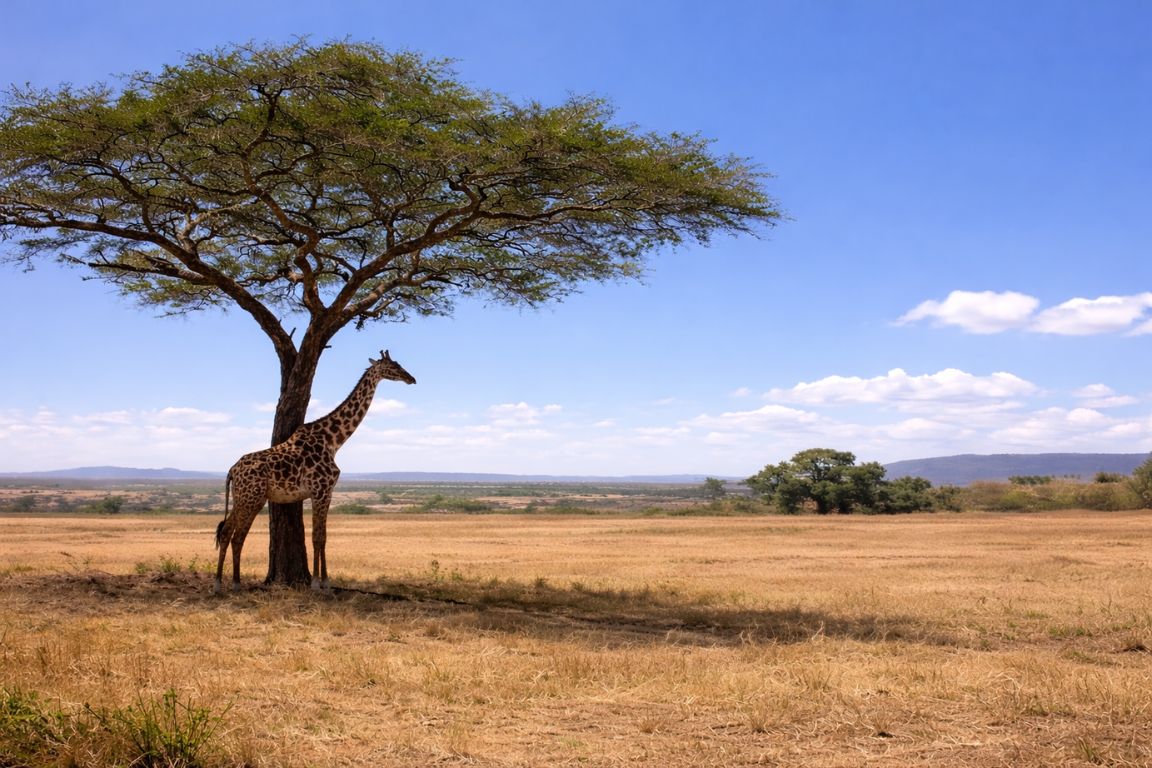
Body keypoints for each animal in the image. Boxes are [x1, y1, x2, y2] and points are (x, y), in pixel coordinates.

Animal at [214, 350, 416, 593]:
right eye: (393, 366)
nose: (411, 378)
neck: (333, 441)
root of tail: (232, 470)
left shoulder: (325, 492)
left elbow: (322, 537)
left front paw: (323, 581)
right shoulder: (321, 491)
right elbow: (318, 538)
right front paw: (318, 584)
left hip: (242, 498)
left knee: (227, 532)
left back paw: (221, 583)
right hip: (252, 498)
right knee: (236, 536)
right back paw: (232, 583)